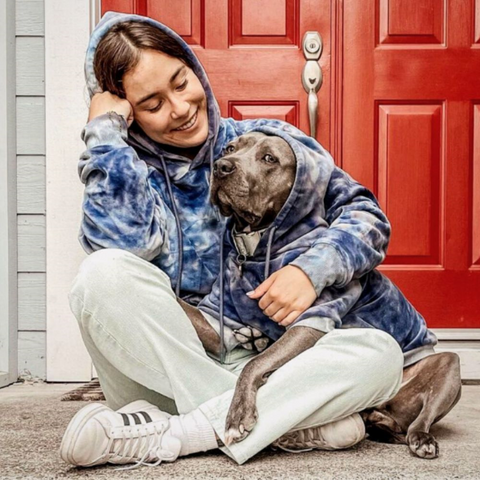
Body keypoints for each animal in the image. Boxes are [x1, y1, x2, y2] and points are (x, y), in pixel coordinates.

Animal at [176, 130, 462, 458]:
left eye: (269, 158)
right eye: (229, 148)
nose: (222, 167)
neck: (255, 244)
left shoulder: (311, 319)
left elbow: (254, 364)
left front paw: (238, 416)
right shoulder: (220, 321)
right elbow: (183, 306)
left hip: (447, 365)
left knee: (419, 420)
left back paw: (421, 439)